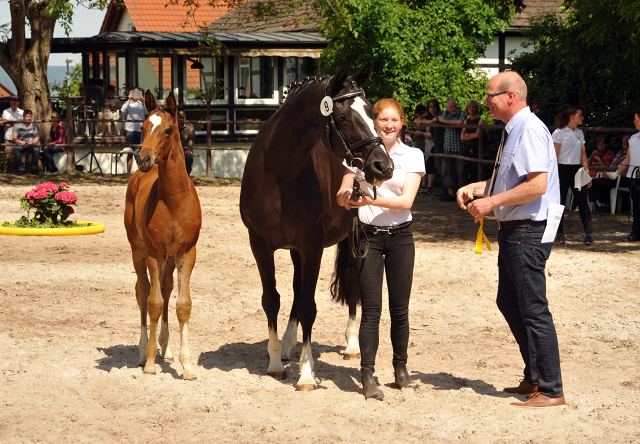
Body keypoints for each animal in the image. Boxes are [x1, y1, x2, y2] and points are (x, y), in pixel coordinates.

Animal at [125, 92, 202, 380]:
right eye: (144, 126)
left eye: (168, 130)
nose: (143, 159)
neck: (173, 202)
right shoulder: (154, 253)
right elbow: (154, 302)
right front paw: (149, 362)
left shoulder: (186, 254)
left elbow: (182, 304)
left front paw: (187, 366)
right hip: (138, 250)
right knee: (143, 291)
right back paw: (141, 351)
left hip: (169, 259)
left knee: (167, 289)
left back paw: (165, 348)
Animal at [238, 64, 392, 390]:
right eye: (343, 117)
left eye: (372, 111)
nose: (383, 166)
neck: (280, 171)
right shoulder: (260, 244)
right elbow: (272, 299)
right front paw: (274, 362)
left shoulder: (312, 246)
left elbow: (309, 305)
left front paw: (306, 373)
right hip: (296, 249)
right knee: (297, 288)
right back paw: (287, 344)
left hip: (350, 240)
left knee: (351, 281)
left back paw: (351, 344)